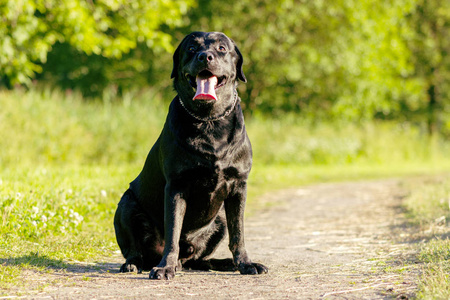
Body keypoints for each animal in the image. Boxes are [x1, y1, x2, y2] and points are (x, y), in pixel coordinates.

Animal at [114, 31, 268, 280]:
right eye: (192, 48)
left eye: (222, 48)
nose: (205, 56)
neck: (209, 120)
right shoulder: (177, 186)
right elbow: (173, 232)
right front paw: (165, 267)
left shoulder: (238, 186)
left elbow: (239, 233)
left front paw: (245, 263)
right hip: (126, 205)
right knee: (136, 250)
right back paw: (136, 264)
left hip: (219, 220)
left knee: (199, 260)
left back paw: (224, 263)